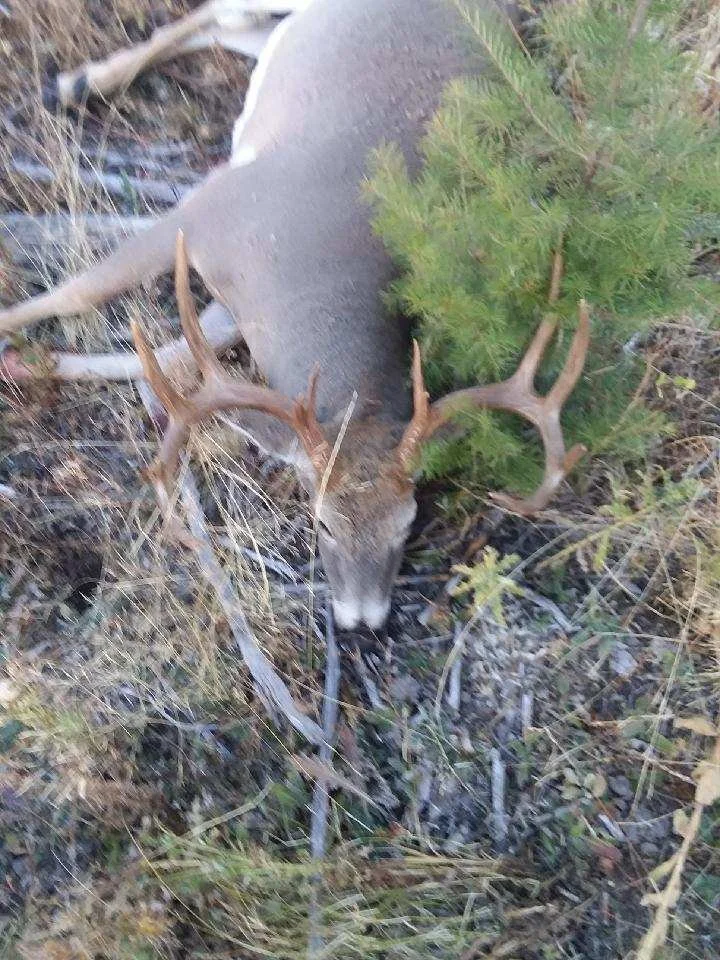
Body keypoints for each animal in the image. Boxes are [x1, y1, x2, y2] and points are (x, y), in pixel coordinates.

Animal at [0, 0, 590, 631]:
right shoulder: (203, 213)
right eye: (321, 519)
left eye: (408, 521)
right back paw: (73, 84)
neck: (311, 279)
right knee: (216, 16)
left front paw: (28, 363)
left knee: (235, 31)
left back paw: (78, 83)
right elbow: (76, 294)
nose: (362, 618)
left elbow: (163, 356)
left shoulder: (235, 301)